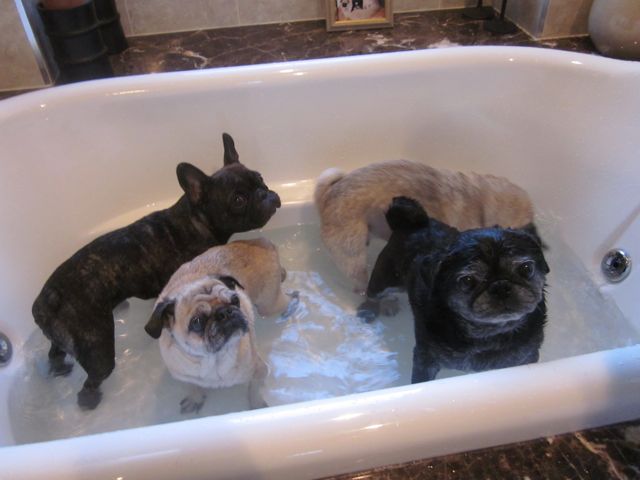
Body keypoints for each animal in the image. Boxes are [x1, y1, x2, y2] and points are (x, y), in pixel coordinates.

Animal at [145, 238, 293, 413]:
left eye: (235, 300)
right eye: (197, 322)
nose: (226, 312)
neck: (212, 360)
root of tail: (260, 241)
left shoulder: (259, 370)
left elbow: (254, 389)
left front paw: (256, 404)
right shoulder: (186, 377)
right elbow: (193, 386)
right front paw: (196, 398)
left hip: (269, 305)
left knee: (290, 298)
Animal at [362, 196, 548, 383]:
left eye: (526, 269)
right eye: (467, 280)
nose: (501, 286)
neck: (488, 335)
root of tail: (414, 223)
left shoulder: (527, 358)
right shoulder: (426, 359)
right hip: (385, 280)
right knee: (372, 294)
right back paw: (369, 310)